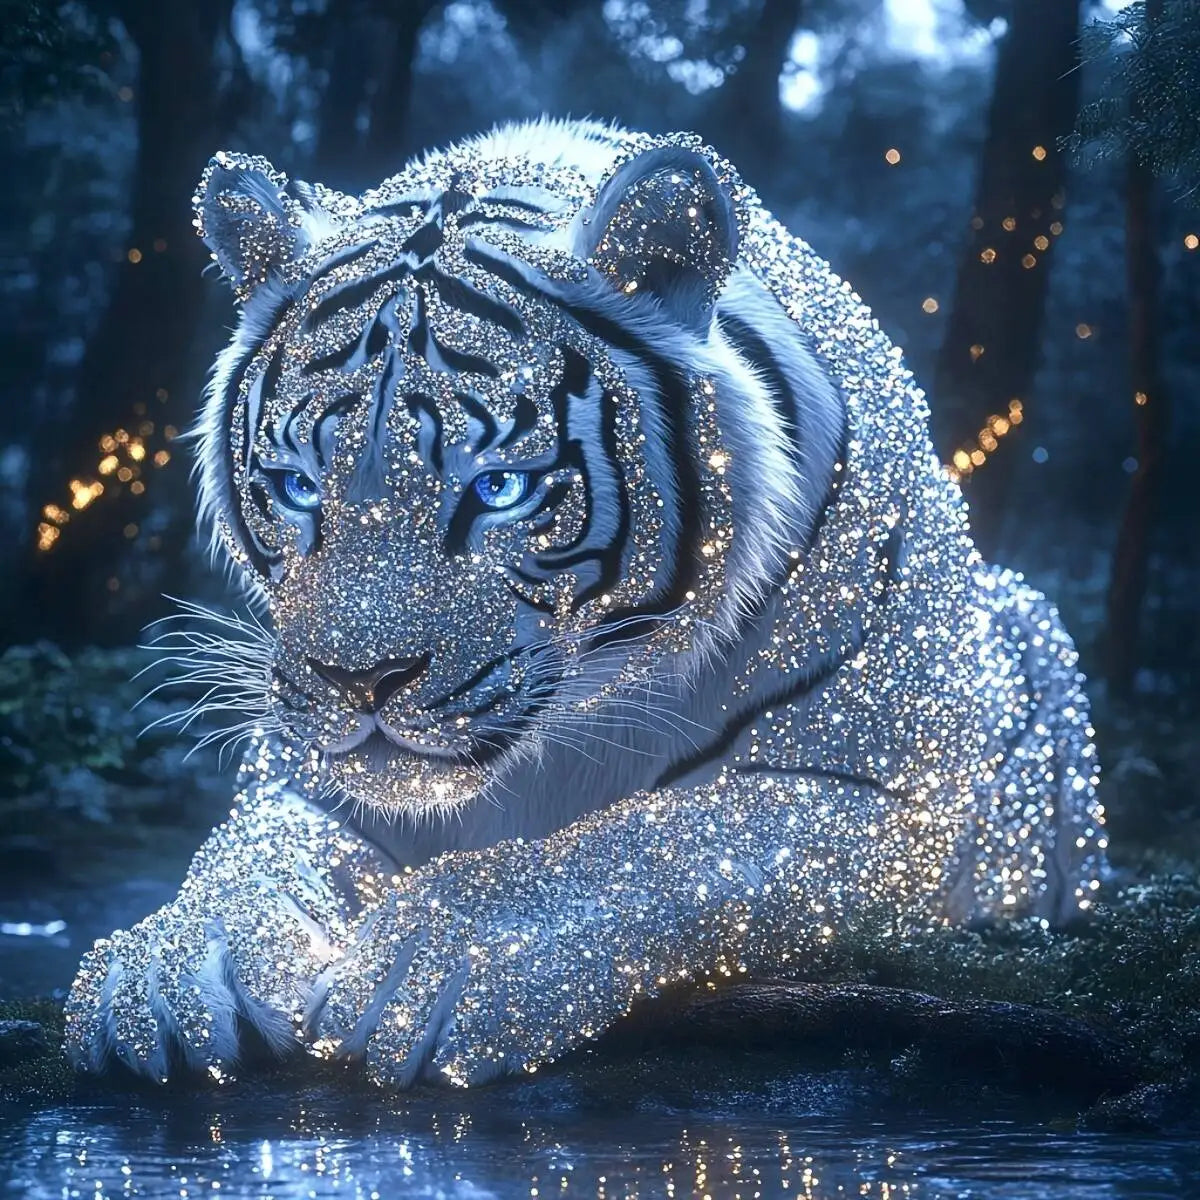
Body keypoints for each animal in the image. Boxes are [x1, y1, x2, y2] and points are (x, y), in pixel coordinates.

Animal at [65, 119, 1107, 1089]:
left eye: (498, 489)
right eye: (296, 486)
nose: (358, 682)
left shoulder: (891, 798)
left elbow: (663, 842)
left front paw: (438, 963)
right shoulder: (301, 776)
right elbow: (248, 858)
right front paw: (163, 968)